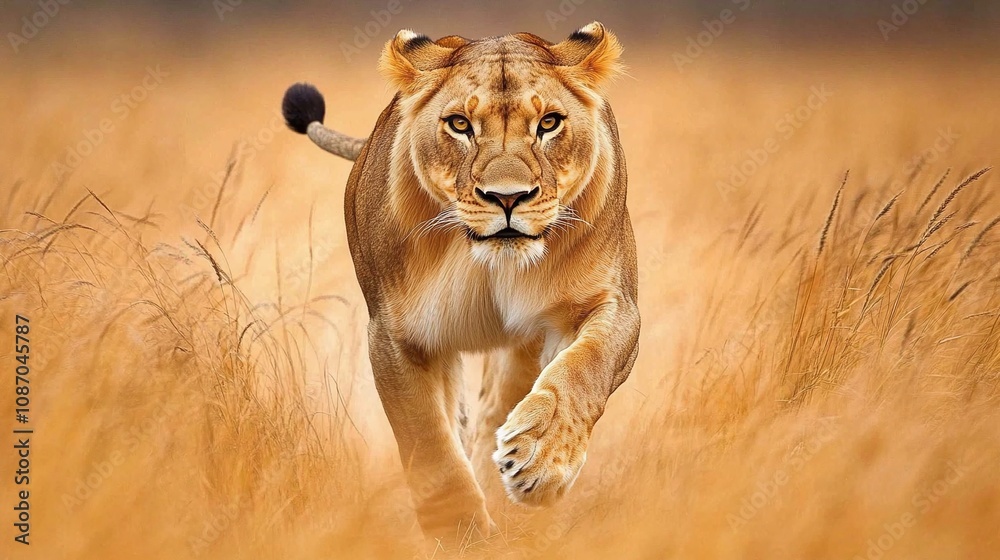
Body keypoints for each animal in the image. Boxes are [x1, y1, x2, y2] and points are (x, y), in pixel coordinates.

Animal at [281, 22, 639, 540]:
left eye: (549, 123)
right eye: (460, 125)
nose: (507, 198)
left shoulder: (611, 304)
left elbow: (584, 370)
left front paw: (540, 460)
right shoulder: (397, 335)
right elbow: (428, 442)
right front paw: (461, 531)